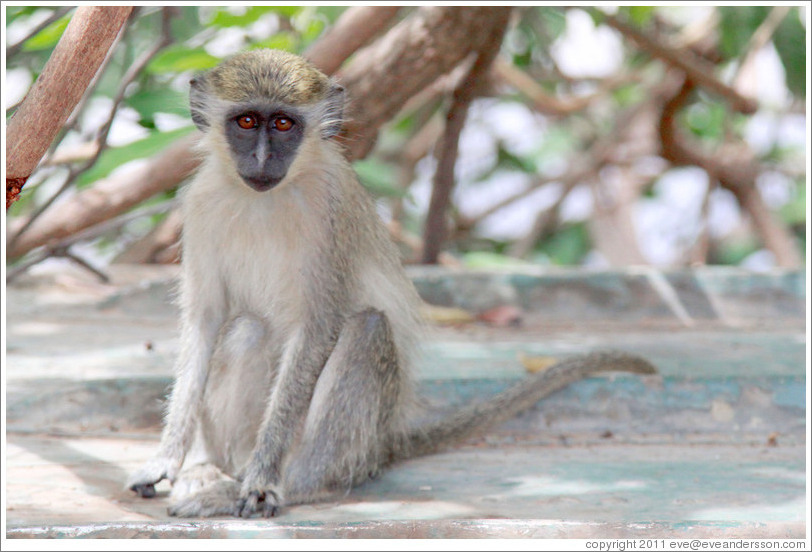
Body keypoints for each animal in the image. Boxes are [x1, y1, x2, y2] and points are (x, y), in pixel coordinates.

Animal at [128, 49, 660, 520]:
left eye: (282, 124)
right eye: (245, 122)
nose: (261, 160)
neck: (265, 198)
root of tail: (384, 443)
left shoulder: (332, 213)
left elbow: (317, 329)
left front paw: (261, 481)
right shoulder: (199, 206)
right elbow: (204, 323)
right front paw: (167, 459)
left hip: (359, 443)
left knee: (365, 331)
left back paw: (288, 483)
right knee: (246, 330)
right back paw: (213, 470)